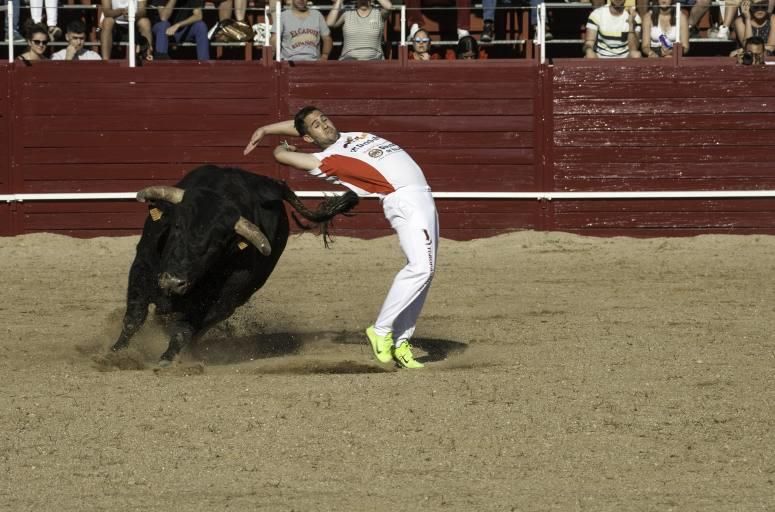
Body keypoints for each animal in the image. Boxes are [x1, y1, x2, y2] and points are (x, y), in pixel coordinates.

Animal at [110, 164, 360, 364]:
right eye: (178, 226)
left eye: (216, 245)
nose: (173, 281)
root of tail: (271, 182)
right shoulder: (141, 267)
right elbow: (133, 318)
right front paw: (116, 352)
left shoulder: (213, 299)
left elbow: (184, 328)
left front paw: (167, 359)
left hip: (233, 300)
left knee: (197, 328)